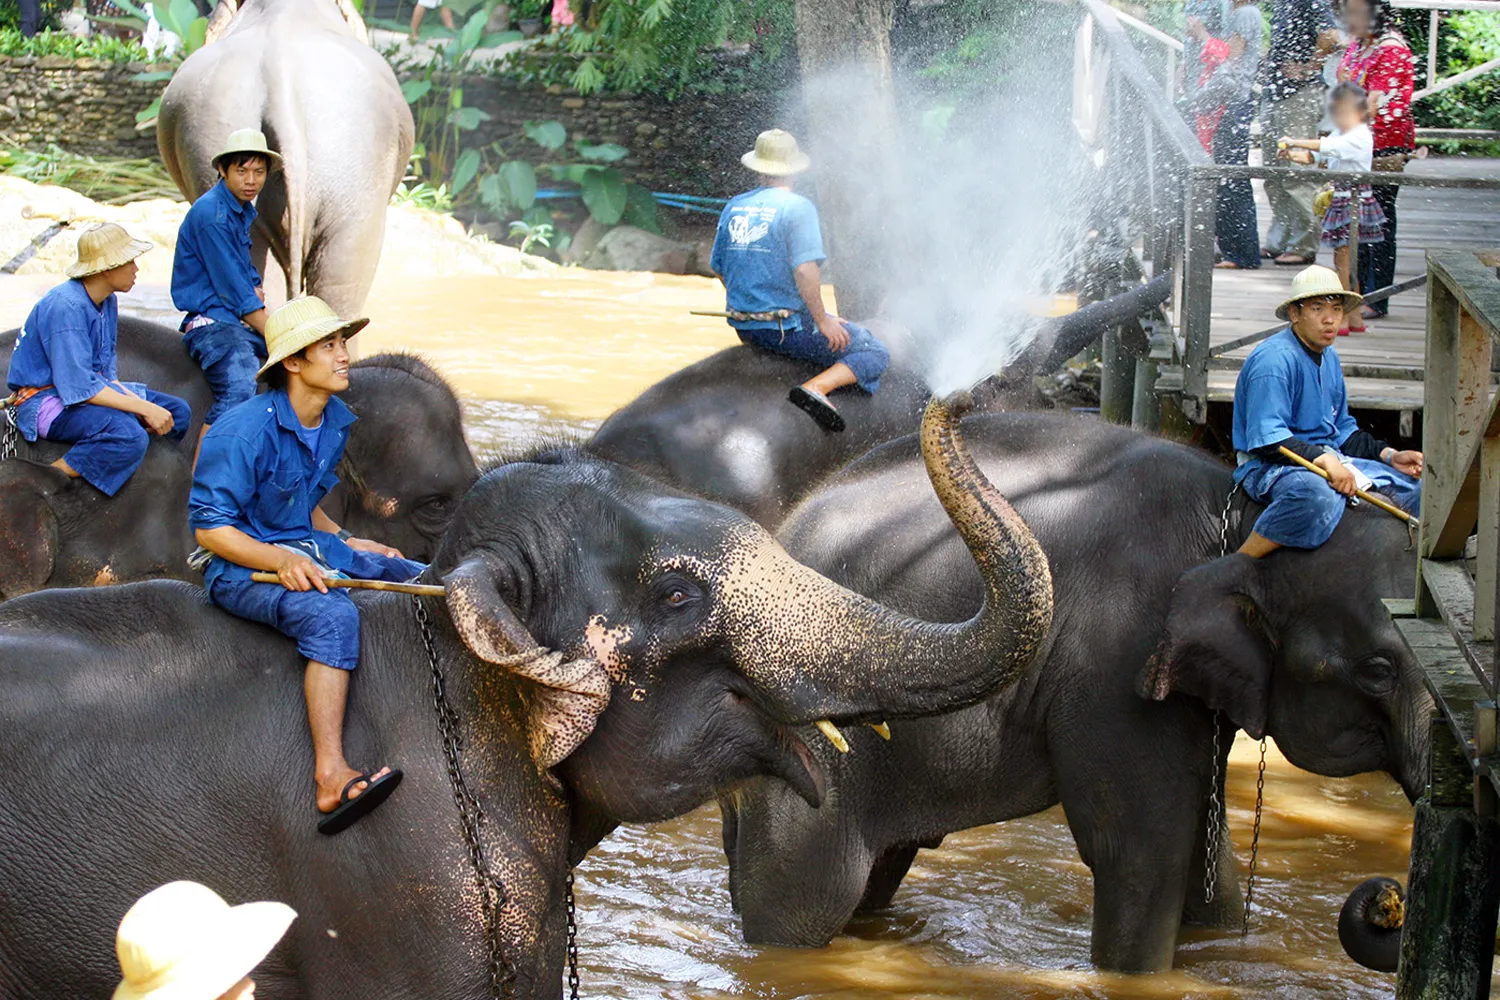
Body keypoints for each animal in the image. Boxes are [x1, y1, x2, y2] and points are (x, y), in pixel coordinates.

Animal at [720, 410, 1434, 971]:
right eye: (1378, 669)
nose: (1387, 901)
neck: (1243, 511)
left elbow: (1207, 860)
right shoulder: (1117, 661)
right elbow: (1141, 852)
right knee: (805, 895)